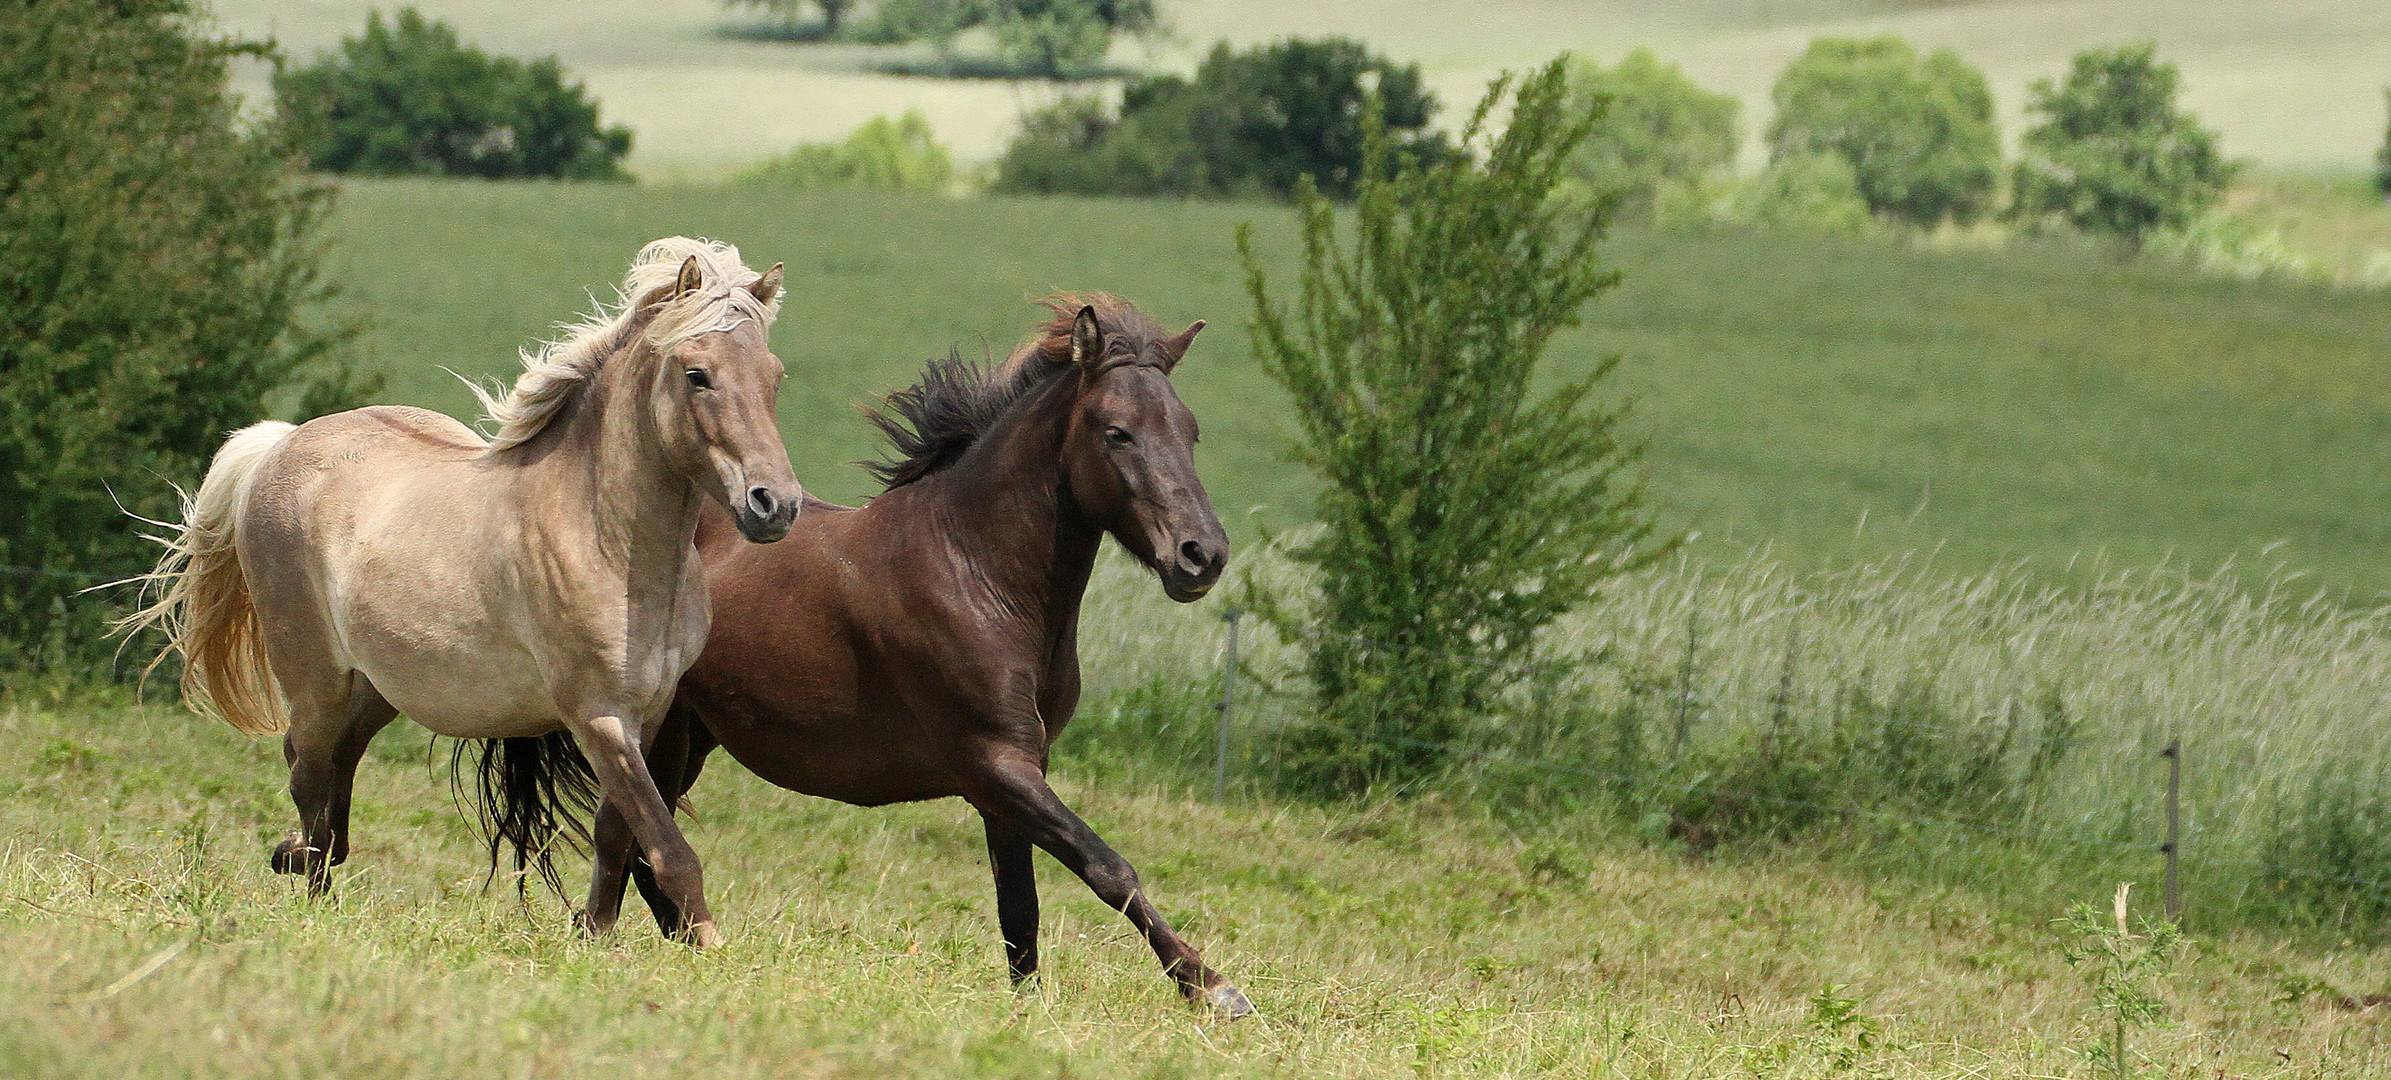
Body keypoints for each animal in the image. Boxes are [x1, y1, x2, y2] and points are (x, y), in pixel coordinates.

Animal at [128, 238, 803, 946]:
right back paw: (312, 897)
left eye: (774, 376)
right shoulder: (596, 713)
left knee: (329, 776)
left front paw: (593, 936)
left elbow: (618, 835)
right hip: (313, 676)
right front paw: (710, 945)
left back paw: (296, 858)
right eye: (698, 374)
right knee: (309, 776)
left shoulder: (649, 713)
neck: (607, 538)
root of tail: (281, 444)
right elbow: (669, 848)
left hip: (382, 686)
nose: (775, 505)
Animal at [583, 295, 1252, 1013]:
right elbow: (1107, 867)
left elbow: (1020, 906)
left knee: (643, 843)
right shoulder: (993, 761)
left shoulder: (1018, 769)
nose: (1202, 555)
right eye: (1117, 432)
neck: (976, 572)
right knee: (619, 831)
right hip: (652, 729)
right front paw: (1213, 988)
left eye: (1189, 433)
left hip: (690, 735)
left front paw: (1026, 1007)